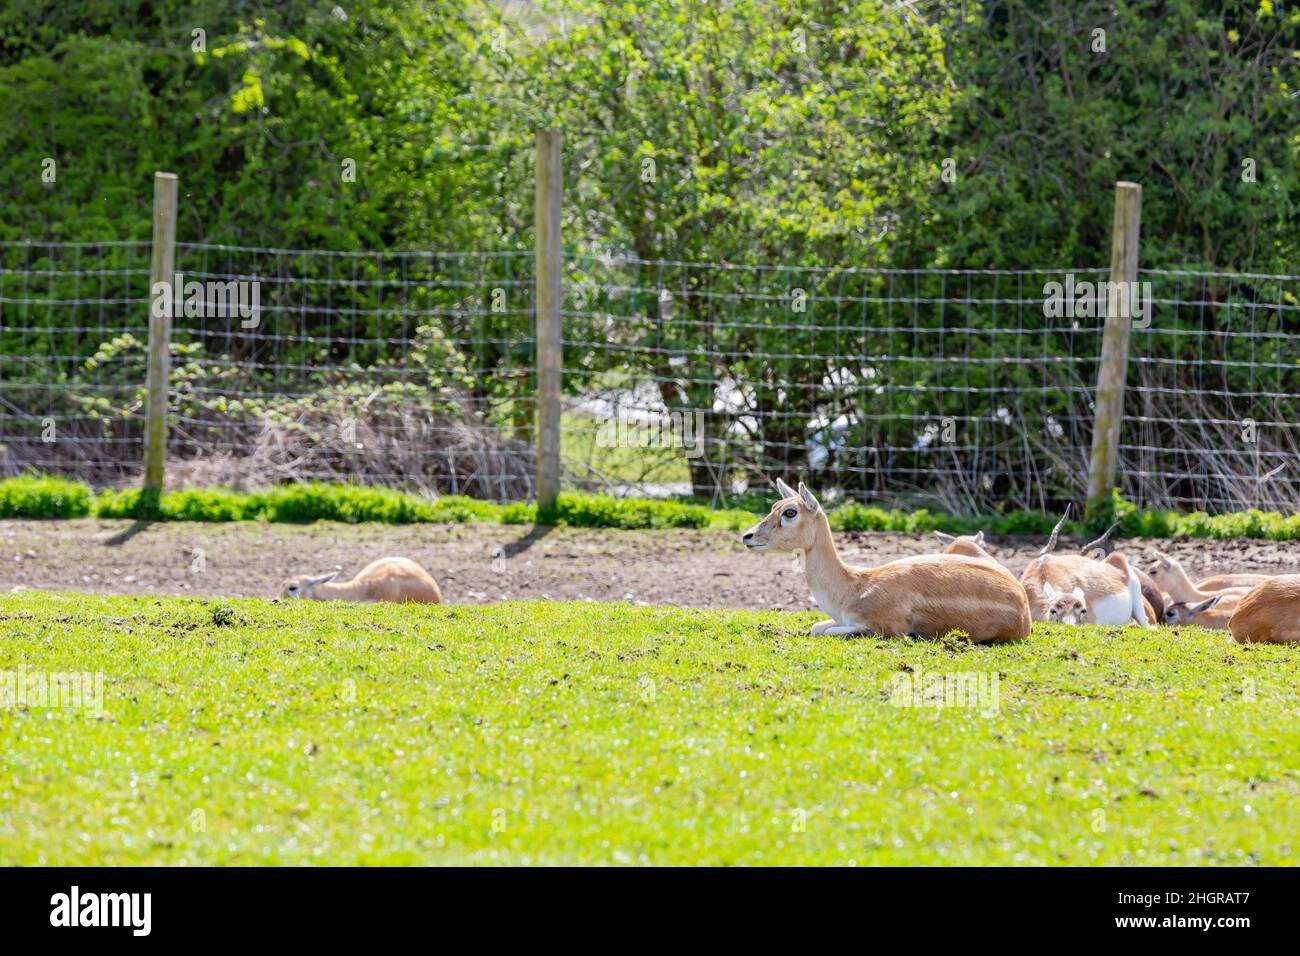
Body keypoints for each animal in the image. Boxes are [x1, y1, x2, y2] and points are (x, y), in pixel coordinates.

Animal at [748, 478, 1029, 642]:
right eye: (774, 505)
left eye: (790, 512)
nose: (747, 536)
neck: (854, 588)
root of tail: (1023, 603)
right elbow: (817, 627)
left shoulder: (884, 626)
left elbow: (827, 631)